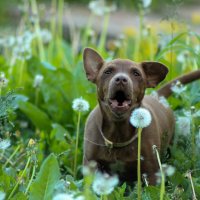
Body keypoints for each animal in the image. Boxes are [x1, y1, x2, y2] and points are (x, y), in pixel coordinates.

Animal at [82, 47, 198, 185]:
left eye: (136, 73)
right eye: (107, 71)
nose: (121, 79)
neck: (118, 131)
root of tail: (157, 95)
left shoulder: (152, 171)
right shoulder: (90, 165)